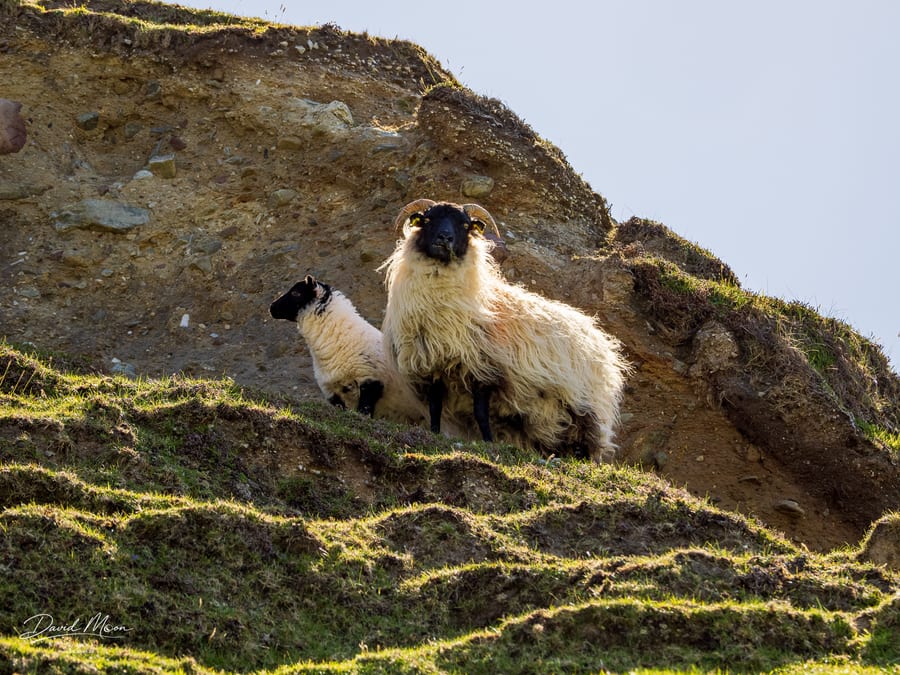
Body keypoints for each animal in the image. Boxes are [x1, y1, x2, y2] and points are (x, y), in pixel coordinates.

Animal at [379, 199, 629, 463]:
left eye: (465, 225)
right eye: (428, 220)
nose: (444, 238)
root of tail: (600, 336)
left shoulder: (482, 369)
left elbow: (481, 412)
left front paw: (488, 442)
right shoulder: (432, 366)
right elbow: (435, 408)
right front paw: (435, 434)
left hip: (585, 405)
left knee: (588, 439)